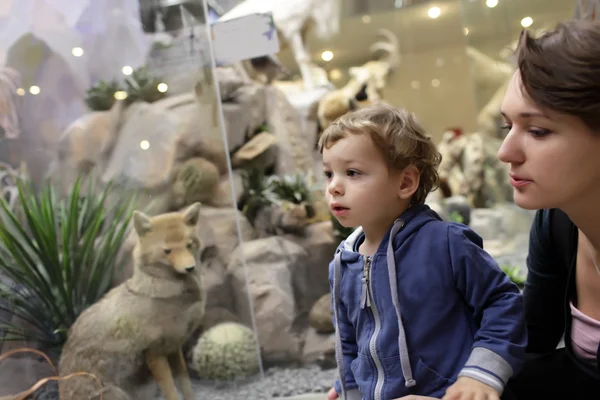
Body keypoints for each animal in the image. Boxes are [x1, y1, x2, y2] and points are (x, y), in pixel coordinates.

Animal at [58, 203, 206, 400]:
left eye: (189, 245)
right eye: (167, 251)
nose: (190, 268)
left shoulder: (175, 348)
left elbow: (186, 386)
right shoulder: (155, 354)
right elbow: (171, 391)